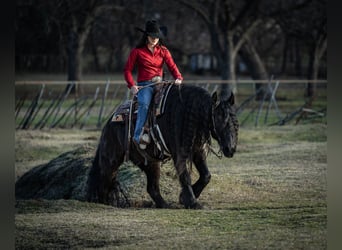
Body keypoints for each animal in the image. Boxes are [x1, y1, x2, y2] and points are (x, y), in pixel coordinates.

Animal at [87, 84, 239, 209]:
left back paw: (163, 204)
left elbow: (206, 175)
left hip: (150, 162)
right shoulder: (180, 154)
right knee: (103, 179)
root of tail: (110, 122)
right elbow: (185, 176)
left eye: (235, 122)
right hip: (111, 161)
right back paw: (103, 202)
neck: (188, 114)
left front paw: (185, 198)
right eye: (220, 120)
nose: (230, 149)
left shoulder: (197, 152)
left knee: (151, 187)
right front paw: (192, 202)